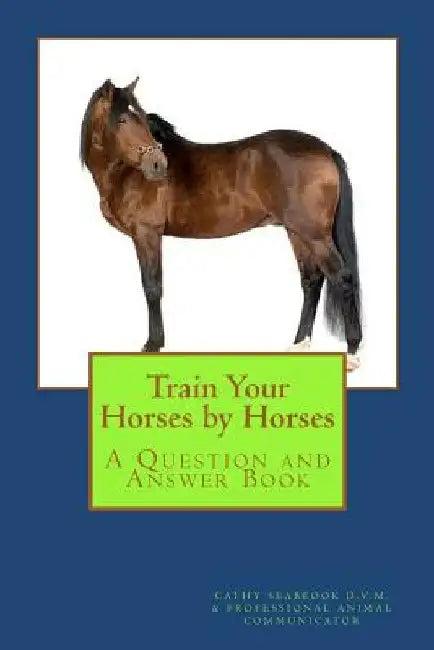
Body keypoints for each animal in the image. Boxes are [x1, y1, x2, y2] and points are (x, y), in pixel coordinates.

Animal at [80, 78, 362, 371]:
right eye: (122, 119)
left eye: (144, 119)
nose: (158, 164)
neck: (124, 173)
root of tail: (326, 150)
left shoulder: (147, 233)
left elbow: (152, 287)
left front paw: (153, 345)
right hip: (297, 232)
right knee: (312, 280)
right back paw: (299, 344)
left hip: (315, 235)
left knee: (342, 277)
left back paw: (352, 352)